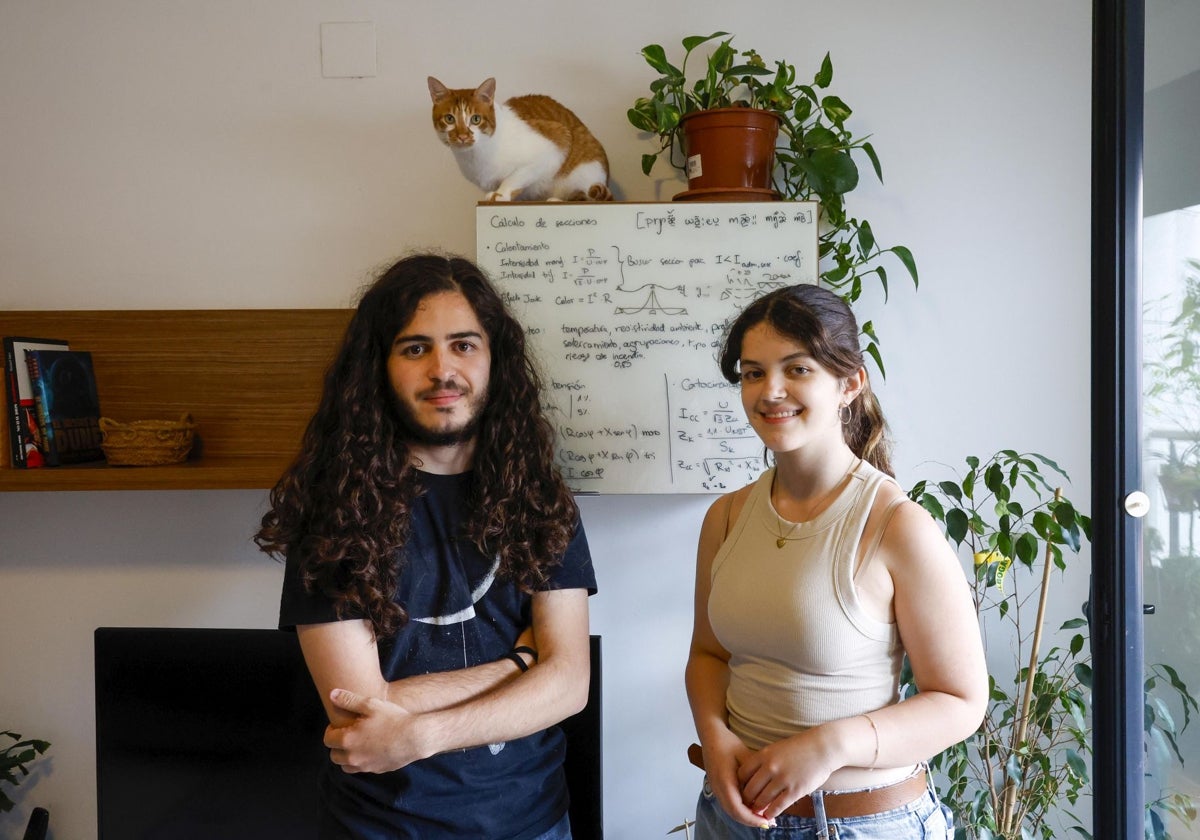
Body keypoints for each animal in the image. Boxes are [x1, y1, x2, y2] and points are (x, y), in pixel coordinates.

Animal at [429, 78, 614, 204]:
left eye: (475, 119)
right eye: (449, 118)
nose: (462, 136)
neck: (475, 157)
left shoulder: (555, 143)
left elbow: (514, 177)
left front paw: (501, 194)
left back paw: (557, 199)